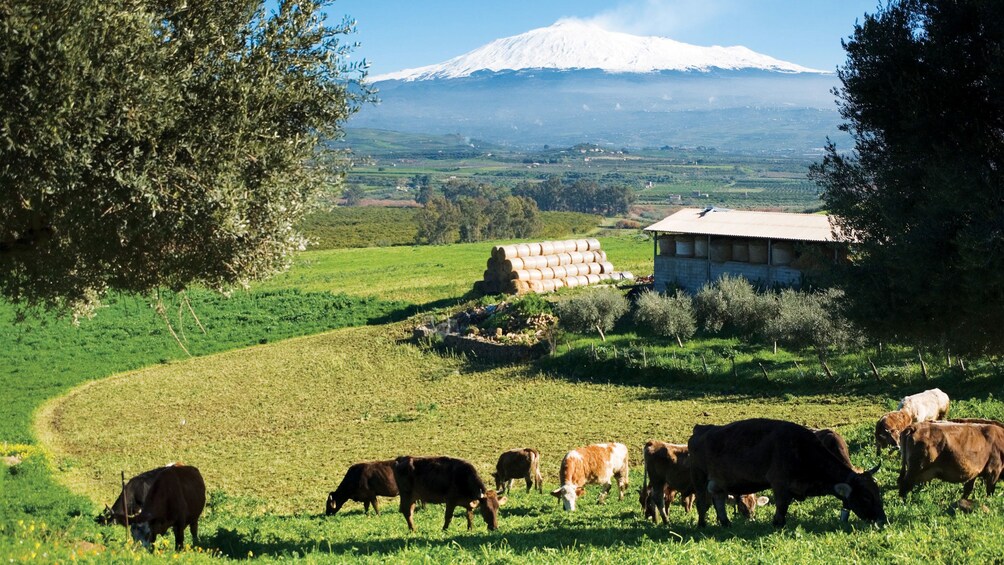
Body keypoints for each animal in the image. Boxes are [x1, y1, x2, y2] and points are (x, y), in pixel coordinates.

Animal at [686, 417, 883, 529]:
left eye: (878, 493)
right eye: (866, 497)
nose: (882, 520)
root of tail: (701, 428)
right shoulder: (779, 483)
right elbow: (782, 506)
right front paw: (777, 525)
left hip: (719, 483)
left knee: (718, 500)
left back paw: (726, 523)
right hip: (698, 478)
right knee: (702, 504)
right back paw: (702, 525)